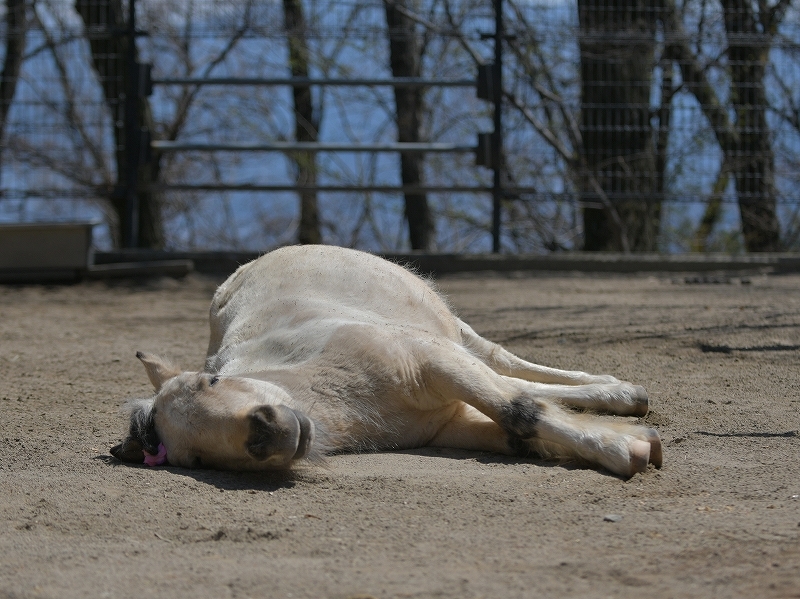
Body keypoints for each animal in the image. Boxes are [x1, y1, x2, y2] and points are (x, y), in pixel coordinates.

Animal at [112, 245, 664, 478]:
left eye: (210, 381)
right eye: (194, 459)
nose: (266, 430)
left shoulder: (431, 360)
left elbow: (520, 409)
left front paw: (622, 449)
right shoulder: (448, 423)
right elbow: (517, 426)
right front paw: (628, 443)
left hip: (450, 329)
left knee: (504, 363)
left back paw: (621, 393)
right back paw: (623, 398)